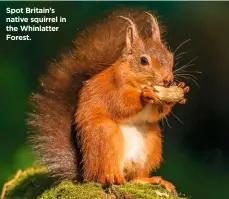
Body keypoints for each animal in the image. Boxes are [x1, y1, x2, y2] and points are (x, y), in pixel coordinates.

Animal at [28, 8, 190, 194]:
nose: (167, 80)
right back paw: (112, 177)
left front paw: (179, 90)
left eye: (170, 56)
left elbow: (154, 114)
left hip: (152, 139)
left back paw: (153, 180)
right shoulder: (114, 86)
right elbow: (120, 104)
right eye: (143, 61)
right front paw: (145, 95)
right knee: (102, 175)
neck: (136, 79)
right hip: (105, 135)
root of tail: (85, 172)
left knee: (134, 178)